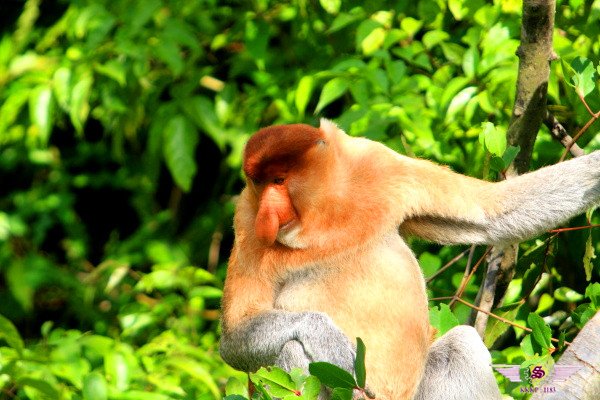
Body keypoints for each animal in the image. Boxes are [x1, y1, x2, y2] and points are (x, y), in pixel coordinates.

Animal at [220, 119, 600, 400]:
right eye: (259, 183)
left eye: (279, 180)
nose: (267, 213)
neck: (326, 212)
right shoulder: (246, 222)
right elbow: (235, 337)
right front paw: (330, 341)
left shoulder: (381, 163)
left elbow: (492, 211)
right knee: (291, 349)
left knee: (461, 346)